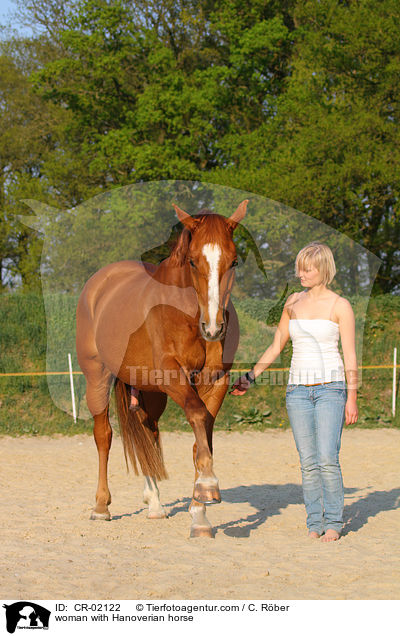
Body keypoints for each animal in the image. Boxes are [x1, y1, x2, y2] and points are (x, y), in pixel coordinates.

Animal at [76, 200, 247, 536]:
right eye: (193, 261)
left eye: (234, 262)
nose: (213, 328)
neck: (186, 311)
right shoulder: (171, 375)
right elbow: (197, 415)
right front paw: (208, 486)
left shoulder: (216, 381)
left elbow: (202, 437)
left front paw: (200, 513)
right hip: (97, 377)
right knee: (104, 435)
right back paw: (101, 507)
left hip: (149, 391)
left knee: (148, 432)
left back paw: (154, 503)